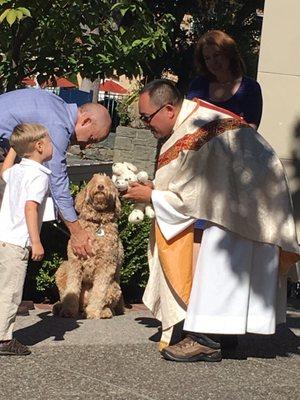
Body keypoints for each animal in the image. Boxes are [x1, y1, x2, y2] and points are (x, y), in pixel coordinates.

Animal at [52, 173, 124, 320]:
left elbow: (99, 291)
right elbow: (72, 289)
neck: (97, 223)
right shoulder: (75, 262)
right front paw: (68, 311)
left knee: (107, 303)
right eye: (93, 181)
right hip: (62, 268)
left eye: (108, 183)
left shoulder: (106, 265)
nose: (101, 186)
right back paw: (60, 307)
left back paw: (104, 312)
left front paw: (94, 312)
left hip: (114, 287)